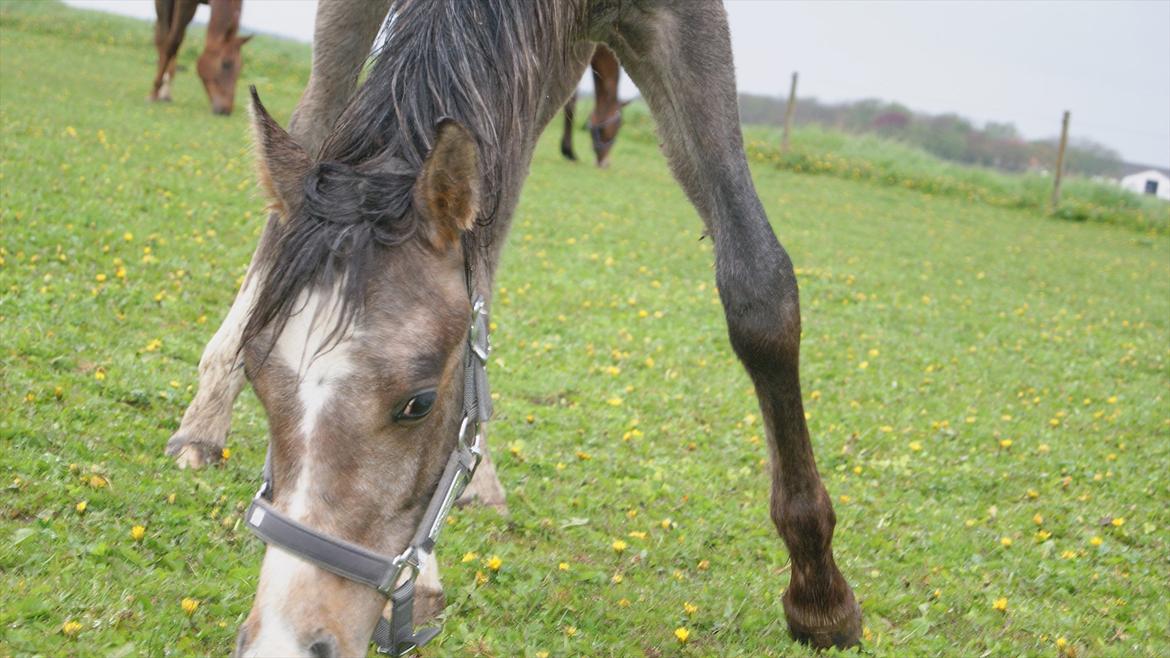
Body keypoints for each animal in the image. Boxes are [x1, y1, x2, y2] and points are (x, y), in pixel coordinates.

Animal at [162, 2, 861, 650]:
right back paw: (203, 422)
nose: (286, 641)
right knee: (314, 125)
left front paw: (819, 597)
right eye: (260, 381)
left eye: (418, 403)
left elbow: (759, 288)